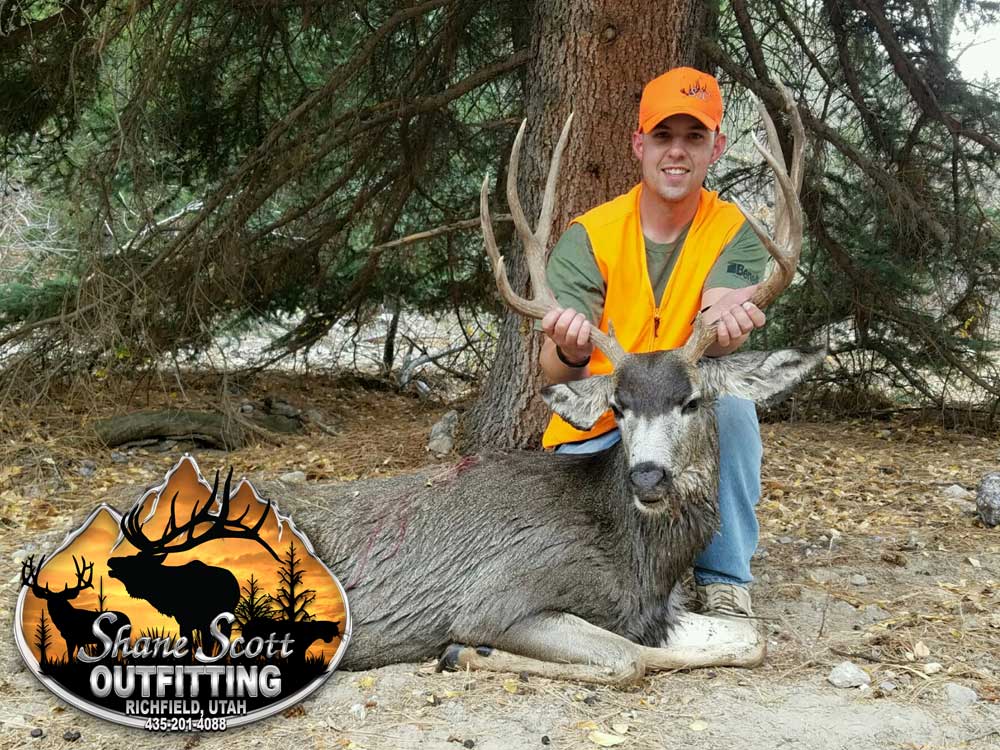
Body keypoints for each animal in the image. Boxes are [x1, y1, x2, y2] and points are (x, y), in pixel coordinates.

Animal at [261, 84, 824, 685]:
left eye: (691, 402)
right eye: (619, 406)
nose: (648, 477)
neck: (636, 562)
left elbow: (750, 639)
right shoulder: (495, 597)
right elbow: (627, 658)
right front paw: (465, 652)